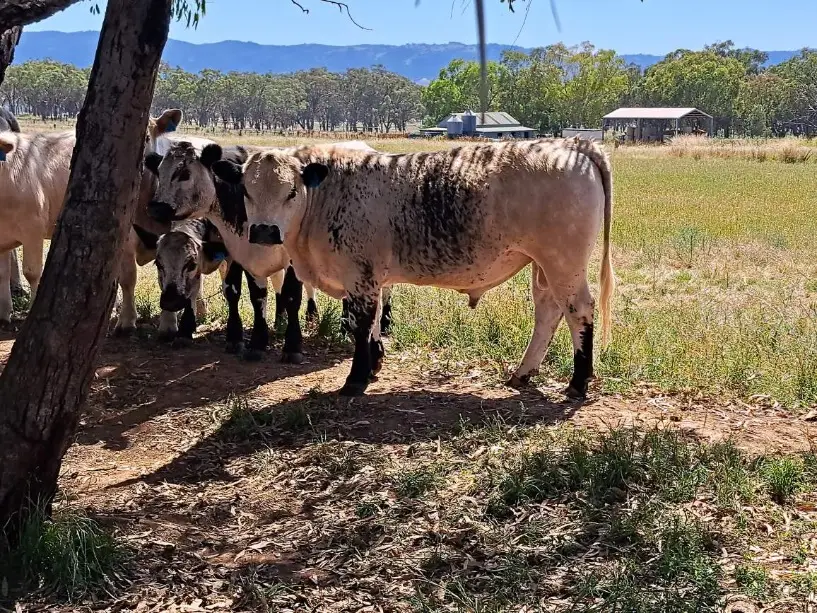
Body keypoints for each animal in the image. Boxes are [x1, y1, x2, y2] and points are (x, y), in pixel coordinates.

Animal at [144, 140, 393, 363]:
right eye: (159, 172)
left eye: (184, 173)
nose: (156, 207)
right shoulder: (239, 254)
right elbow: (246, 295)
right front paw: (252, 341)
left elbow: (291, 296)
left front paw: (292, 346)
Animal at [211, 137, 615, 398]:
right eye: (246, 191)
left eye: (291, 192)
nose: (264, 231)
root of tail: (572, 145)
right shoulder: (369, 278)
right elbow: (374, 324)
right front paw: (373, 365)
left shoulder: (360, 276)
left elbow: (361, 325)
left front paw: (356, 379)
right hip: (543, 266)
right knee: (548, 312)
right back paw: (523, 374)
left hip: (563, 262)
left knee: (578, 311)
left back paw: (578, 383)